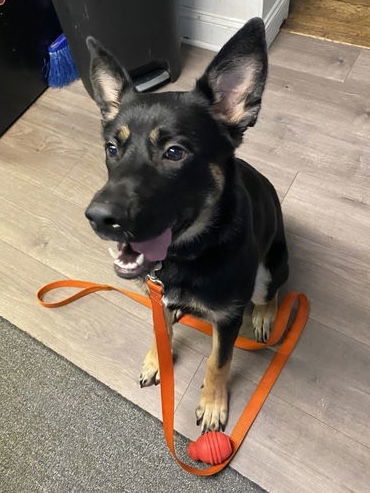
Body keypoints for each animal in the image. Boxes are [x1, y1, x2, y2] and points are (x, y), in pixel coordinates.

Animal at [84, 17, 290, 430]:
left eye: (174, 152)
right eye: (112, 148)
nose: (98, 219)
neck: (189, 253)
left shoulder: (227, 318)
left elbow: (218, 361)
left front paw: (212, 403)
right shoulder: (156, 295)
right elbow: (158, 329)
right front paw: (156, 359)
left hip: (268, 271)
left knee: (271, 292)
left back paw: (264, 315)